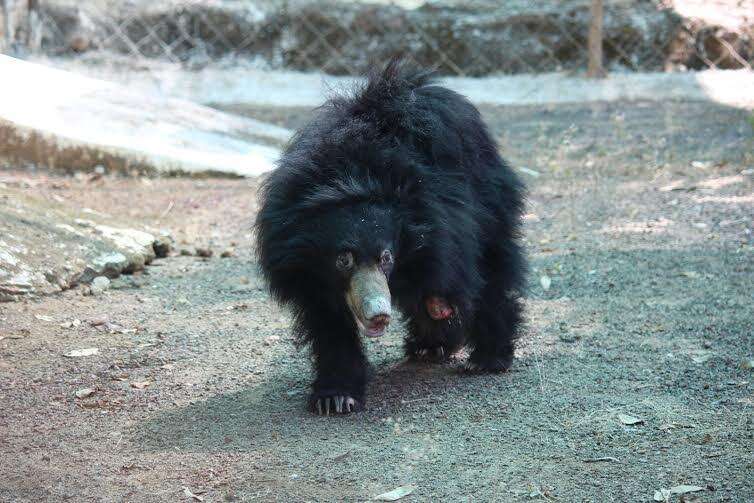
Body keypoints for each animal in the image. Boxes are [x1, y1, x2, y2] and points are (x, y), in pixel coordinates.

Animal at [253, 57, 524, 416]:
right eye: (344, 259)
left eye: (386, 258)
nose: (379, 313)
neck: (349, 181)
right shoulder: (299, 263)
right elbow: (327, 322)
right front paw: (335, 397)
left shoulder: (440, 225)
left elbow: (449, 274)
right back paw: (430, 346)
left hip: (490, 198)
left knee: (492, 269)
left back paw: (485, 357)